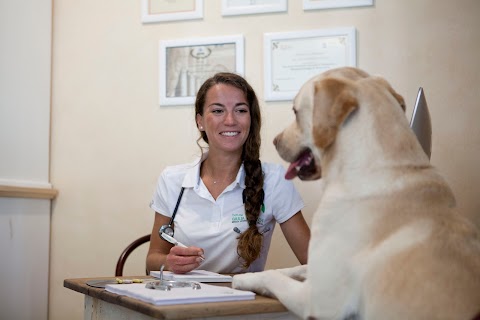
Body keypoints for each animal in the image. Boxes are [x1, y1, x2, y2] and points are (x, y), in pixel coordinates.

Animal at [233, 66, 480, 318]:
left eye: (295, 111)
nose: (275, 140)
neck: (377, 167)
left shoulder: (316, 299)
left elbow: (273, 276)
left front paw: (245, 279)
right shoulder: (319, 269)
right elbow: (295, 267)